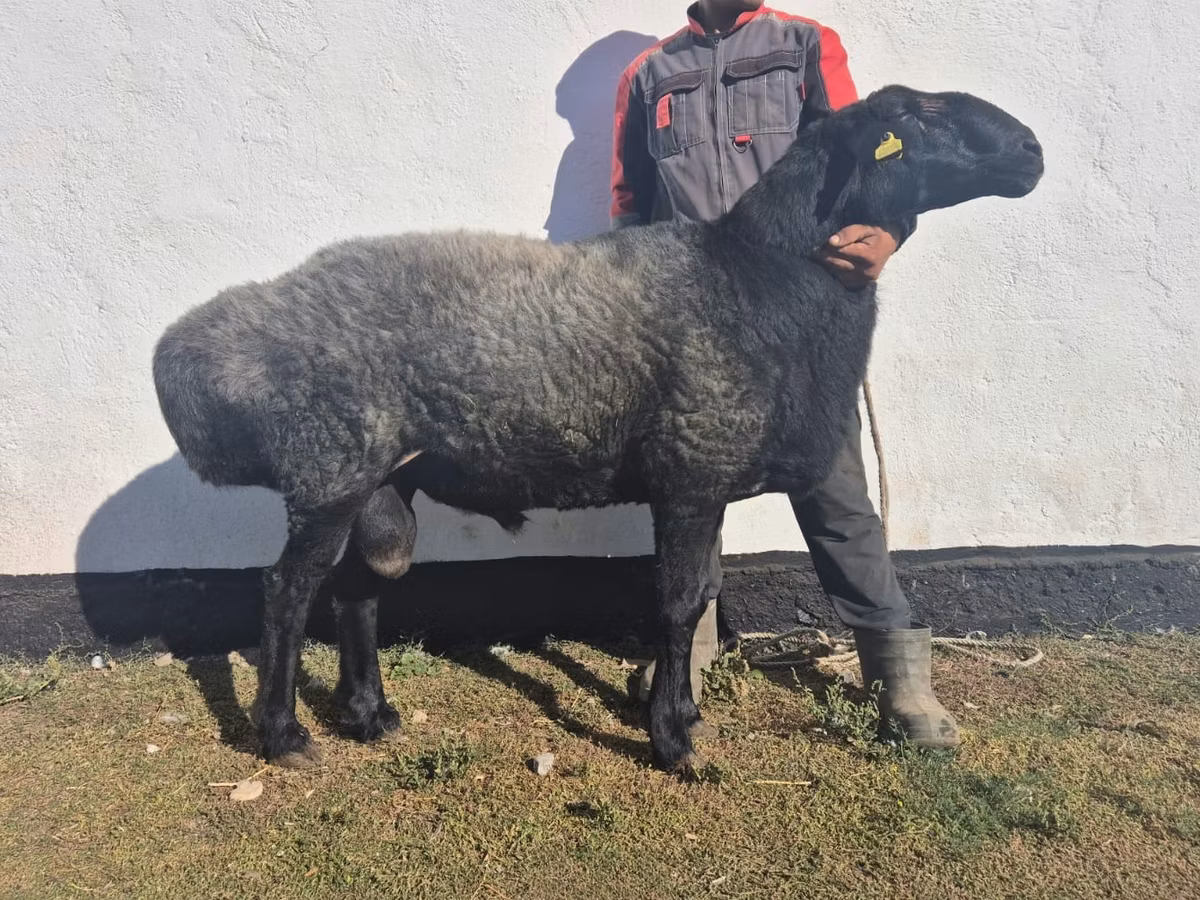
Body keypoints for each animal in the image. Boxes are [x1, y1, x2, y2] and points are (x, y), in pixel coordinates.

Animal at [153, 85, 1044, 773]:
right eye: (910, 112)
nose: (1032, 149)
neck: (758, 279)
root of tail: (211, 338)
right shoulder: (691, 471)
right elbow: (678, 604)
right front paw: (672, 740)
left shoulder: (703, 479)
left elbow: (704, 596)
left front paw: (682, 714)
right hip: (329, 467)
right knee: (285, 589)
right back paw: (282, 736)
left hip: (381, 478)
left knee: (359, 588)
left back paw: (370, 716)